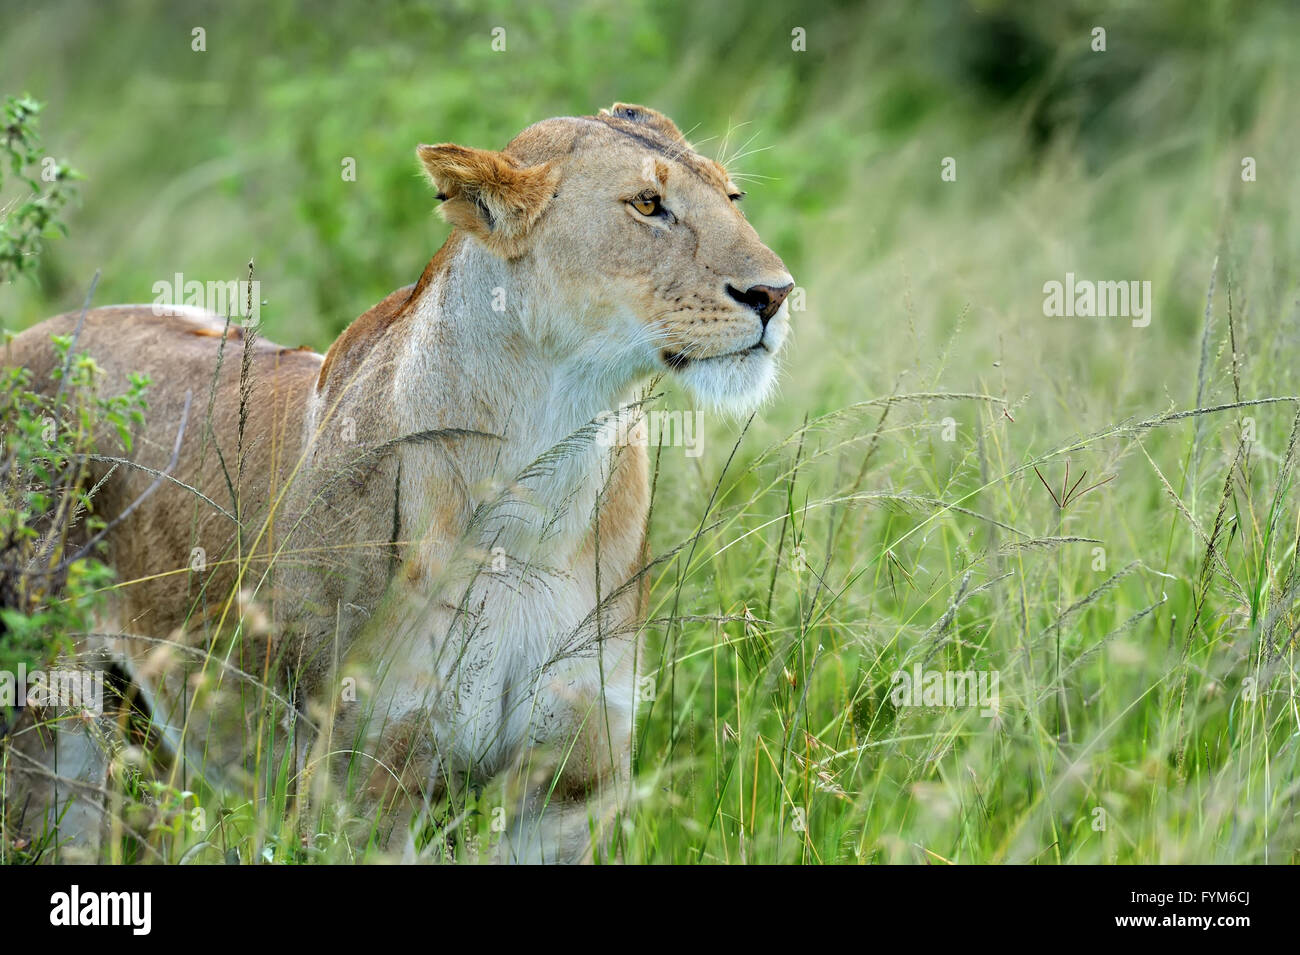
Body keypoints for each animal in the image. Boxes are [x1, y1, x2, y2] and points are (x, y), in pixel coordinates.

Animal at [1, 103, 793, 863]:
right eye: (648, 204)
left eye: (732, 196)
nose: (776, 294)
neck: (546, 477)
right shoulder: (361, 783)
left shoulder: (572, 792)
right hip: (47, 737)